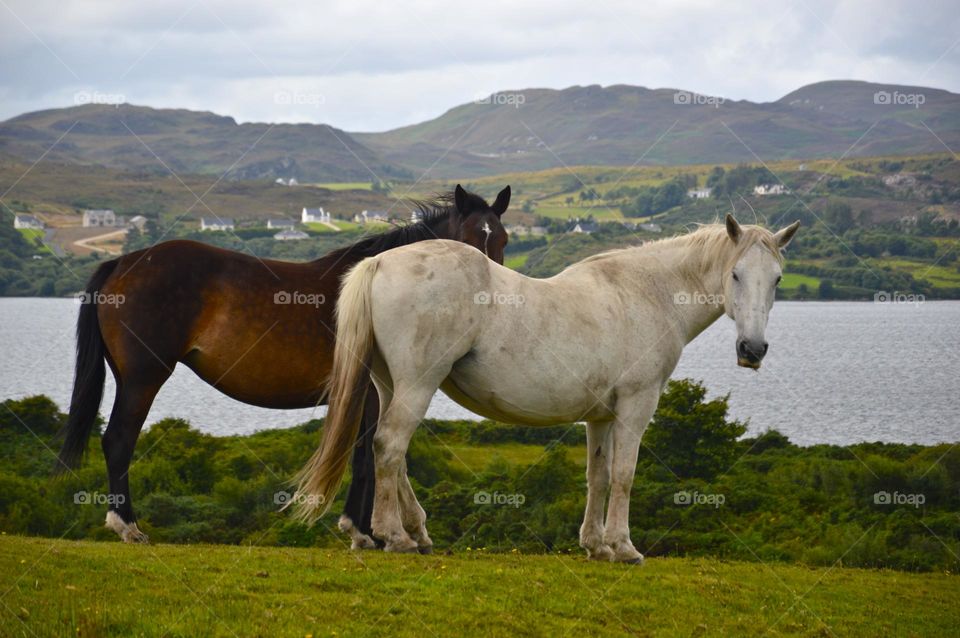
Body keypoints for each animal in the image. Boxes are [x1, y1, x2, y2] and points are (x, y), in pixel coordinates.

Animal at [57, 184, 511, 545]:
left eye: (504, 239)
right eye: (468, 240)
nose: (491, 293)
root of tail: (122, 263)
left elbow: (365, 456)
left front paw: (362, 530)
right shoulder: (368, 393)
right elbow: (367, 457)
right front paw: (365, 532)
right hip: (143, 377)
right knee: (119, 440)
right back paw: (127, 526)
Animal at [291, 214, 799, 561]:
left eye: (776, 279)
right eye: (735, 274)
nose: (753, 349)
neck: (646, 292)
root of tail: (378, 262)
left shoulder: (601, 417)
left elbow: (598, 476)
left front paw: (596, 546)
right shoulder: (636, 406)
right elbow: (624, 474)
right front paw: (624, 547)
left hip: (389, 384)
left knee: (390, 454)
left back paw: (415, 532)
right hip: (418, 384)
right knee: (390, 445)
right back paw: (395, 537)